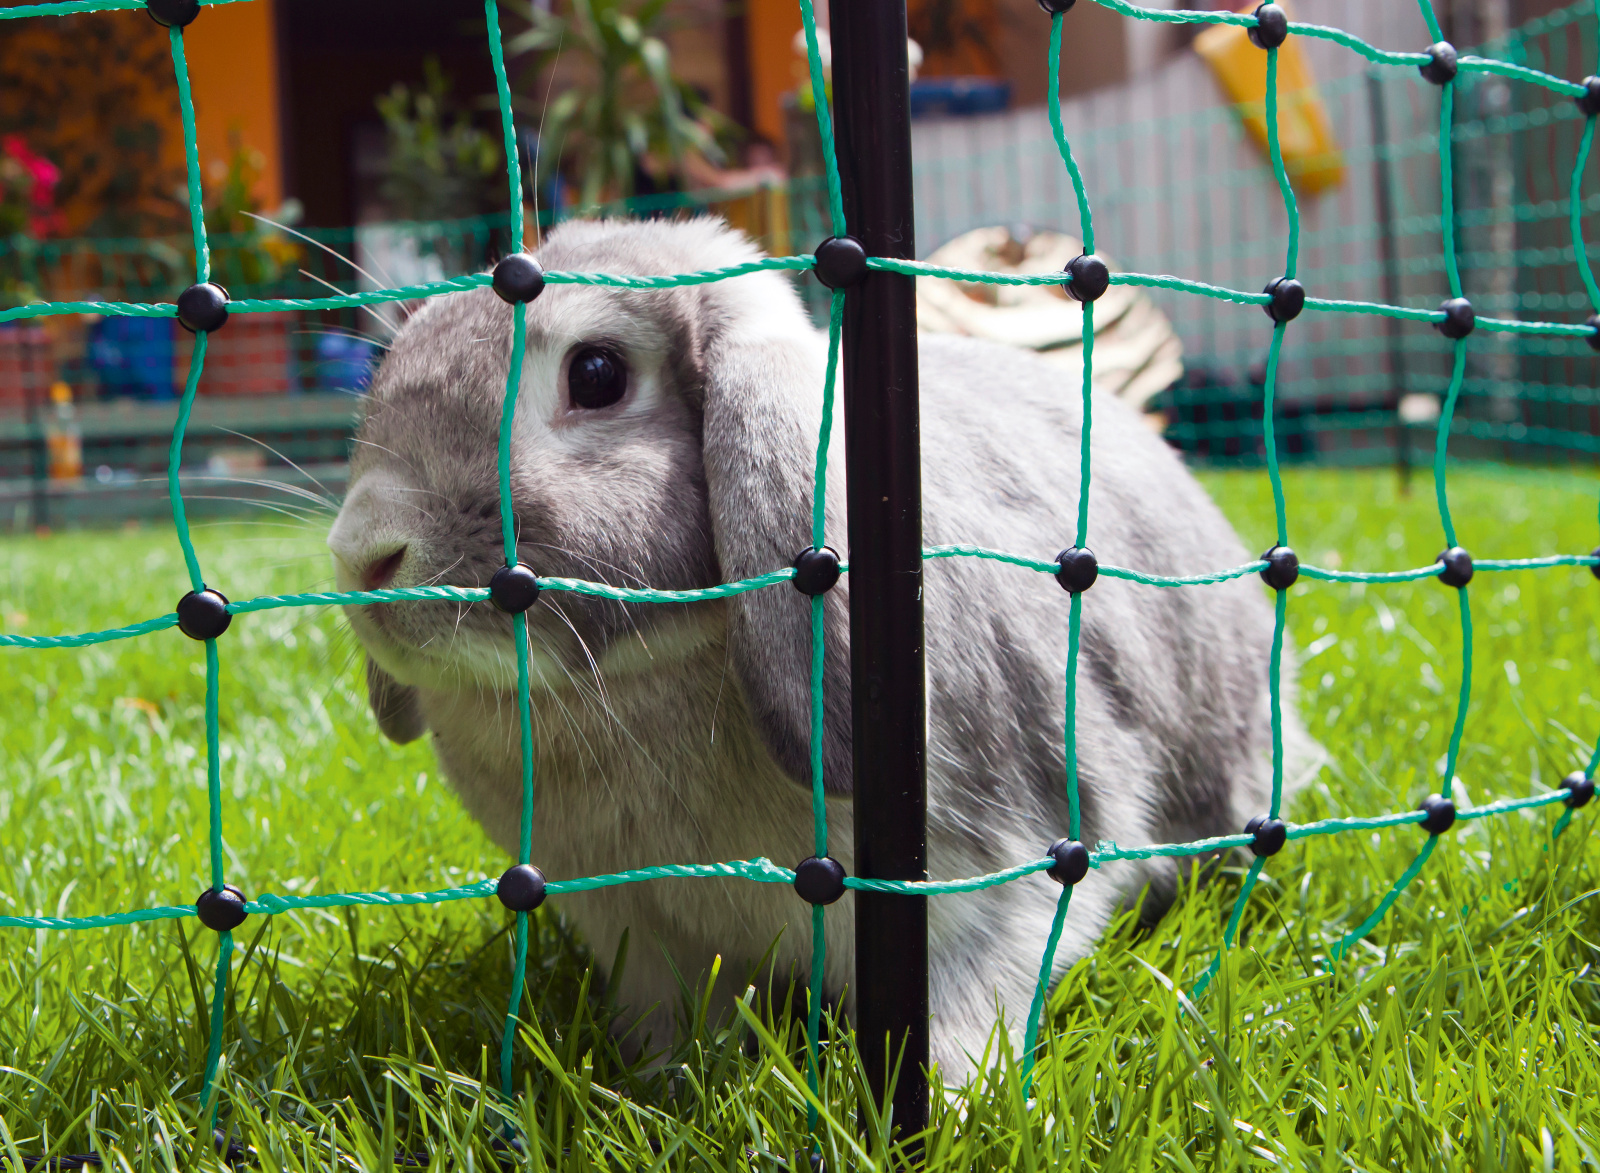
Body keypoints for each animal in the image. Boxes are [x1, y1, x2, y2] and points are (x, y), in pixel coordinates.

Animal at [326, 216, 1319, 1081]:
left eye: (598, 373)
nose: (363, 552)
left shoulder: (992, 885)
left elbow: (969, 1007)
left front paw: (947, 1106)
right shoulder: (640, 932)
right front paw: (662, 1085)